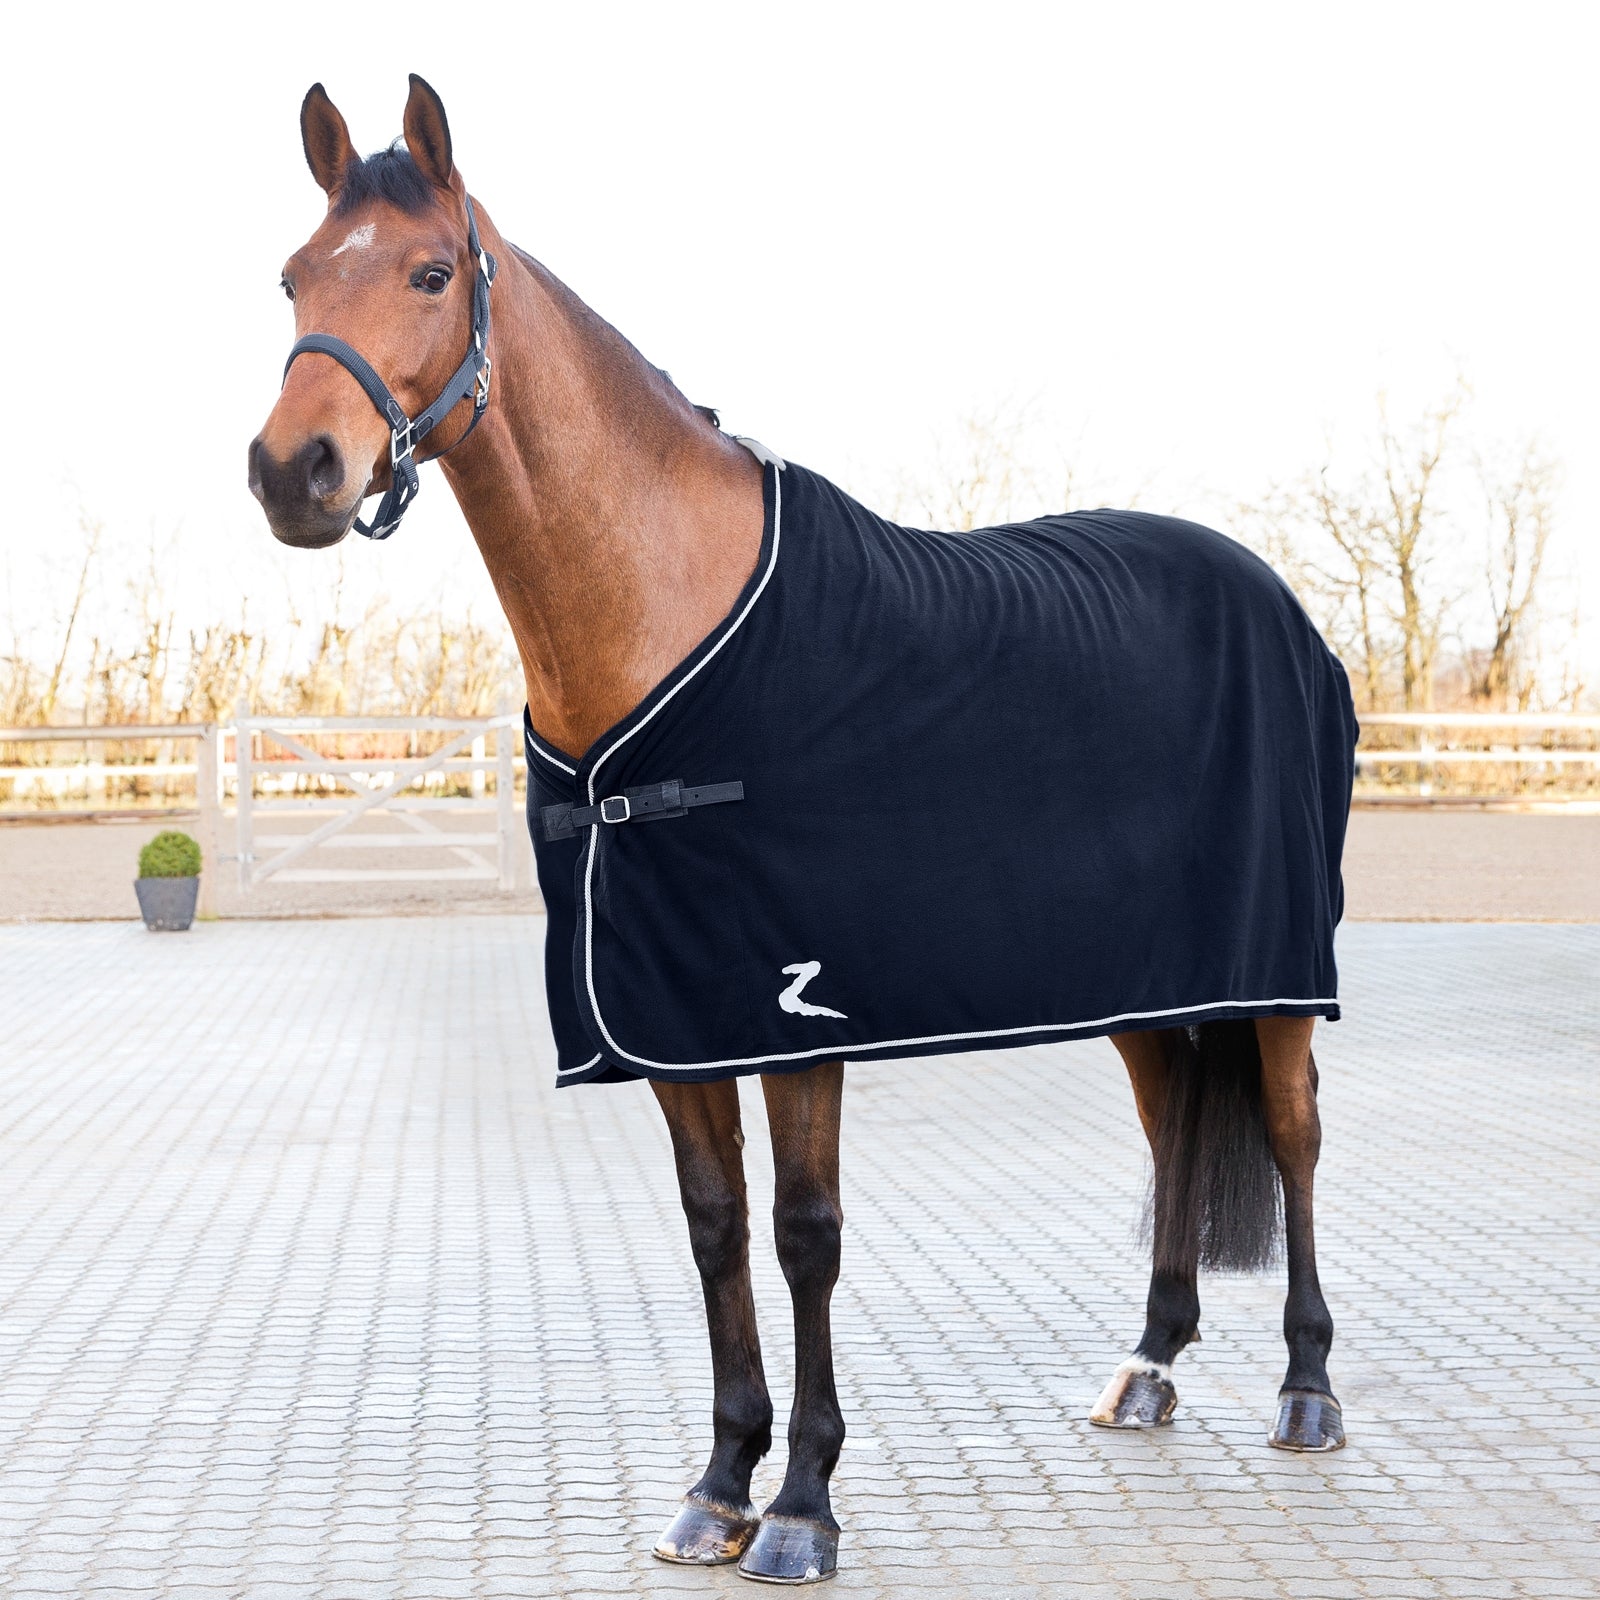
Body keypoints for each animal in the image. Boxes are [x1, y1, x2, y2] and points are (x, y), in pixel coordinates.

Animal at [250, 75, 1352, 1585]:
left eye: (427, 272)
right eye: (295, 277)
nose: (290, 471)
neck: (665, 619)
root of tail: (1270, 594)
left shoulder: (794, 1013)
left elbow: (803, 1233)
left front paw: (803, 1506)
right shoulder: (669, 1018)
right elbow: (716, 1230)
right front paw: (719, 1483)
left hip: (1284, 971)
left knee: (1294, 1134)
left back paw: (1307, 1388)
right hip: (1147, 986)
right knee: (1169, 1121)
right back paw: (1148, 1365)